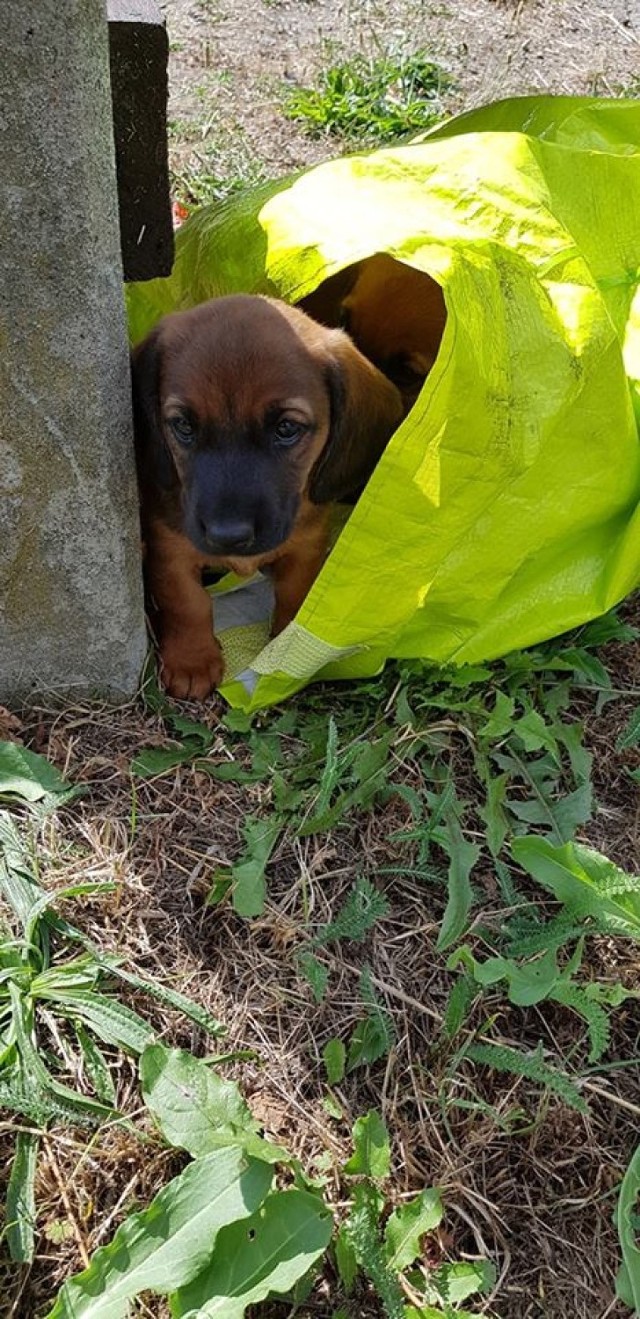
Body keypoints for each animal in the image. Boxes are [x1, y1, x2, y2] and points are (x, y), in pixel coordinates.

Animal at [131, 291, 398, 701]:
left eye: (286, 428)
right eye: (183, 425)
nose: (228, 535)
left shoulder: (306, 545)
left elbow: (295, 592)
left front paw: (286, 650)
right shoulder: (170, 548)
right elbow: (187, 603)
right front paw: (191, 660)